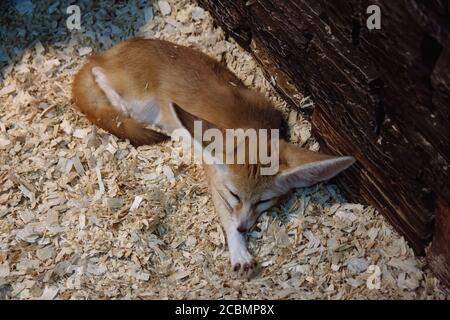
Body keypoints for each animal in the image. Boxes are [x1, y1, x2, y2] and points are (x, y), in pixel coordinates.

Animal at [71, 38, 356, 278]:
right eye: (234, 195)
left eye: (264, 201)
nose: (244, 229)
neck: (252, 125)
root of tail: (107, 52)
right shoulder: (215, 180)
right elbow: (227, 216)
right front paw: (239, 250)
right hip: (139, 102)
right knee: (101, 79)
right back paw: (122, 105)